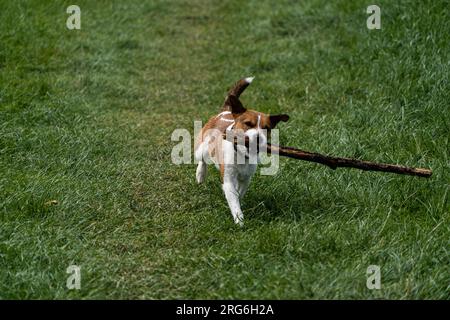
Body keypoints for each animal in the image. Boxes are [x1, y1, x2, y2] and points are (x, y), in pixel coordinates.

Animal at [195, 78, 290, 226]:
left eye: (266, 128)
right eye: (248, 124)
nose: (258, 137)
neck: (242, 154)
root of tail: (225, 112)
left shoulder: (246, 178)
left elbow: (239, 194)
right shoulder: (228, 178)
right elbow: (233, 198)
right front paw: (239, 219)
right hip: (202, 148)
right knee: (202, 159)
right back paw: (200, 174)